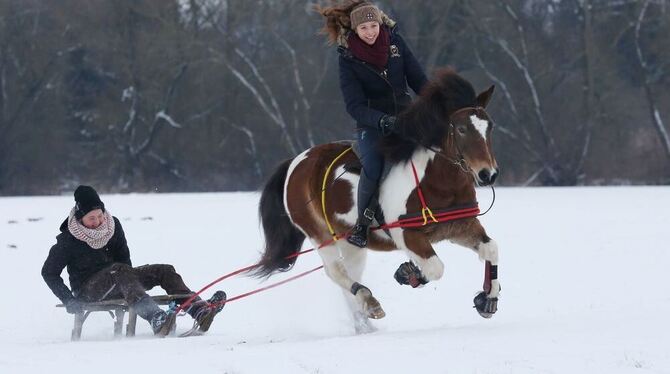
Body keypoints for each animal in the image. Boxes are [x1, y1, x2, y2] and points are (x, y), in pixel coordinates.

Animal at [255, 70, 502, 334]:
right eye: (462, 128)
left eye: (489, 126)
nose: (488, 174)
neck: (438, 180)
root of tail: (296, 162)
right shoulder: (407, 234)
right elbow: (435, 268)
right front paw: (407, 273)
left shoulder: (460, 225)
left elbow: (491, 249)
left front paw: (488, 299)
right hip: (319, 234)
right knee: (335, 271)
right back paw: (369, 301)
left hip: (350, 243)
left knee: (349, 275)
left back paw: (364, 322)